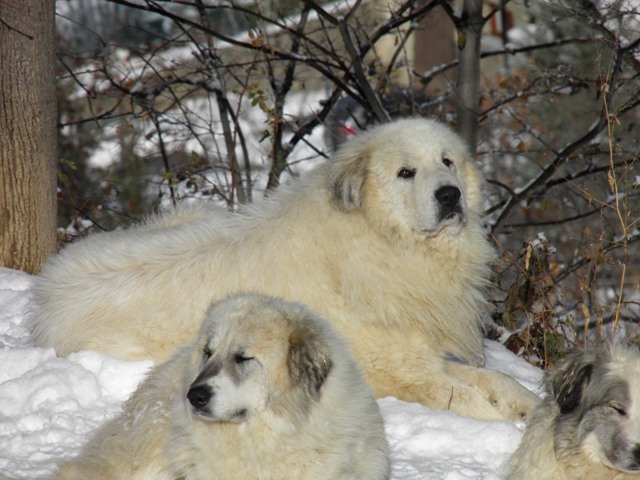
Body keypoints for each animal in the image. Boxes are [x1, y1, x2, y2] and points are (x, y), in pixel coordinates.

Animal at [31, 118, 540, 422]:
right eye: (405, 173)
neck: (376, 244)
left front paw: (532, 405)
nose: (451, 194)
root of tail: (47, 288)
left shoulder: (423, 354)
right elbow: (474, 401)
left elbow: (500, 382)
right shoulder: (406, 375)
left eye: (447, 161)